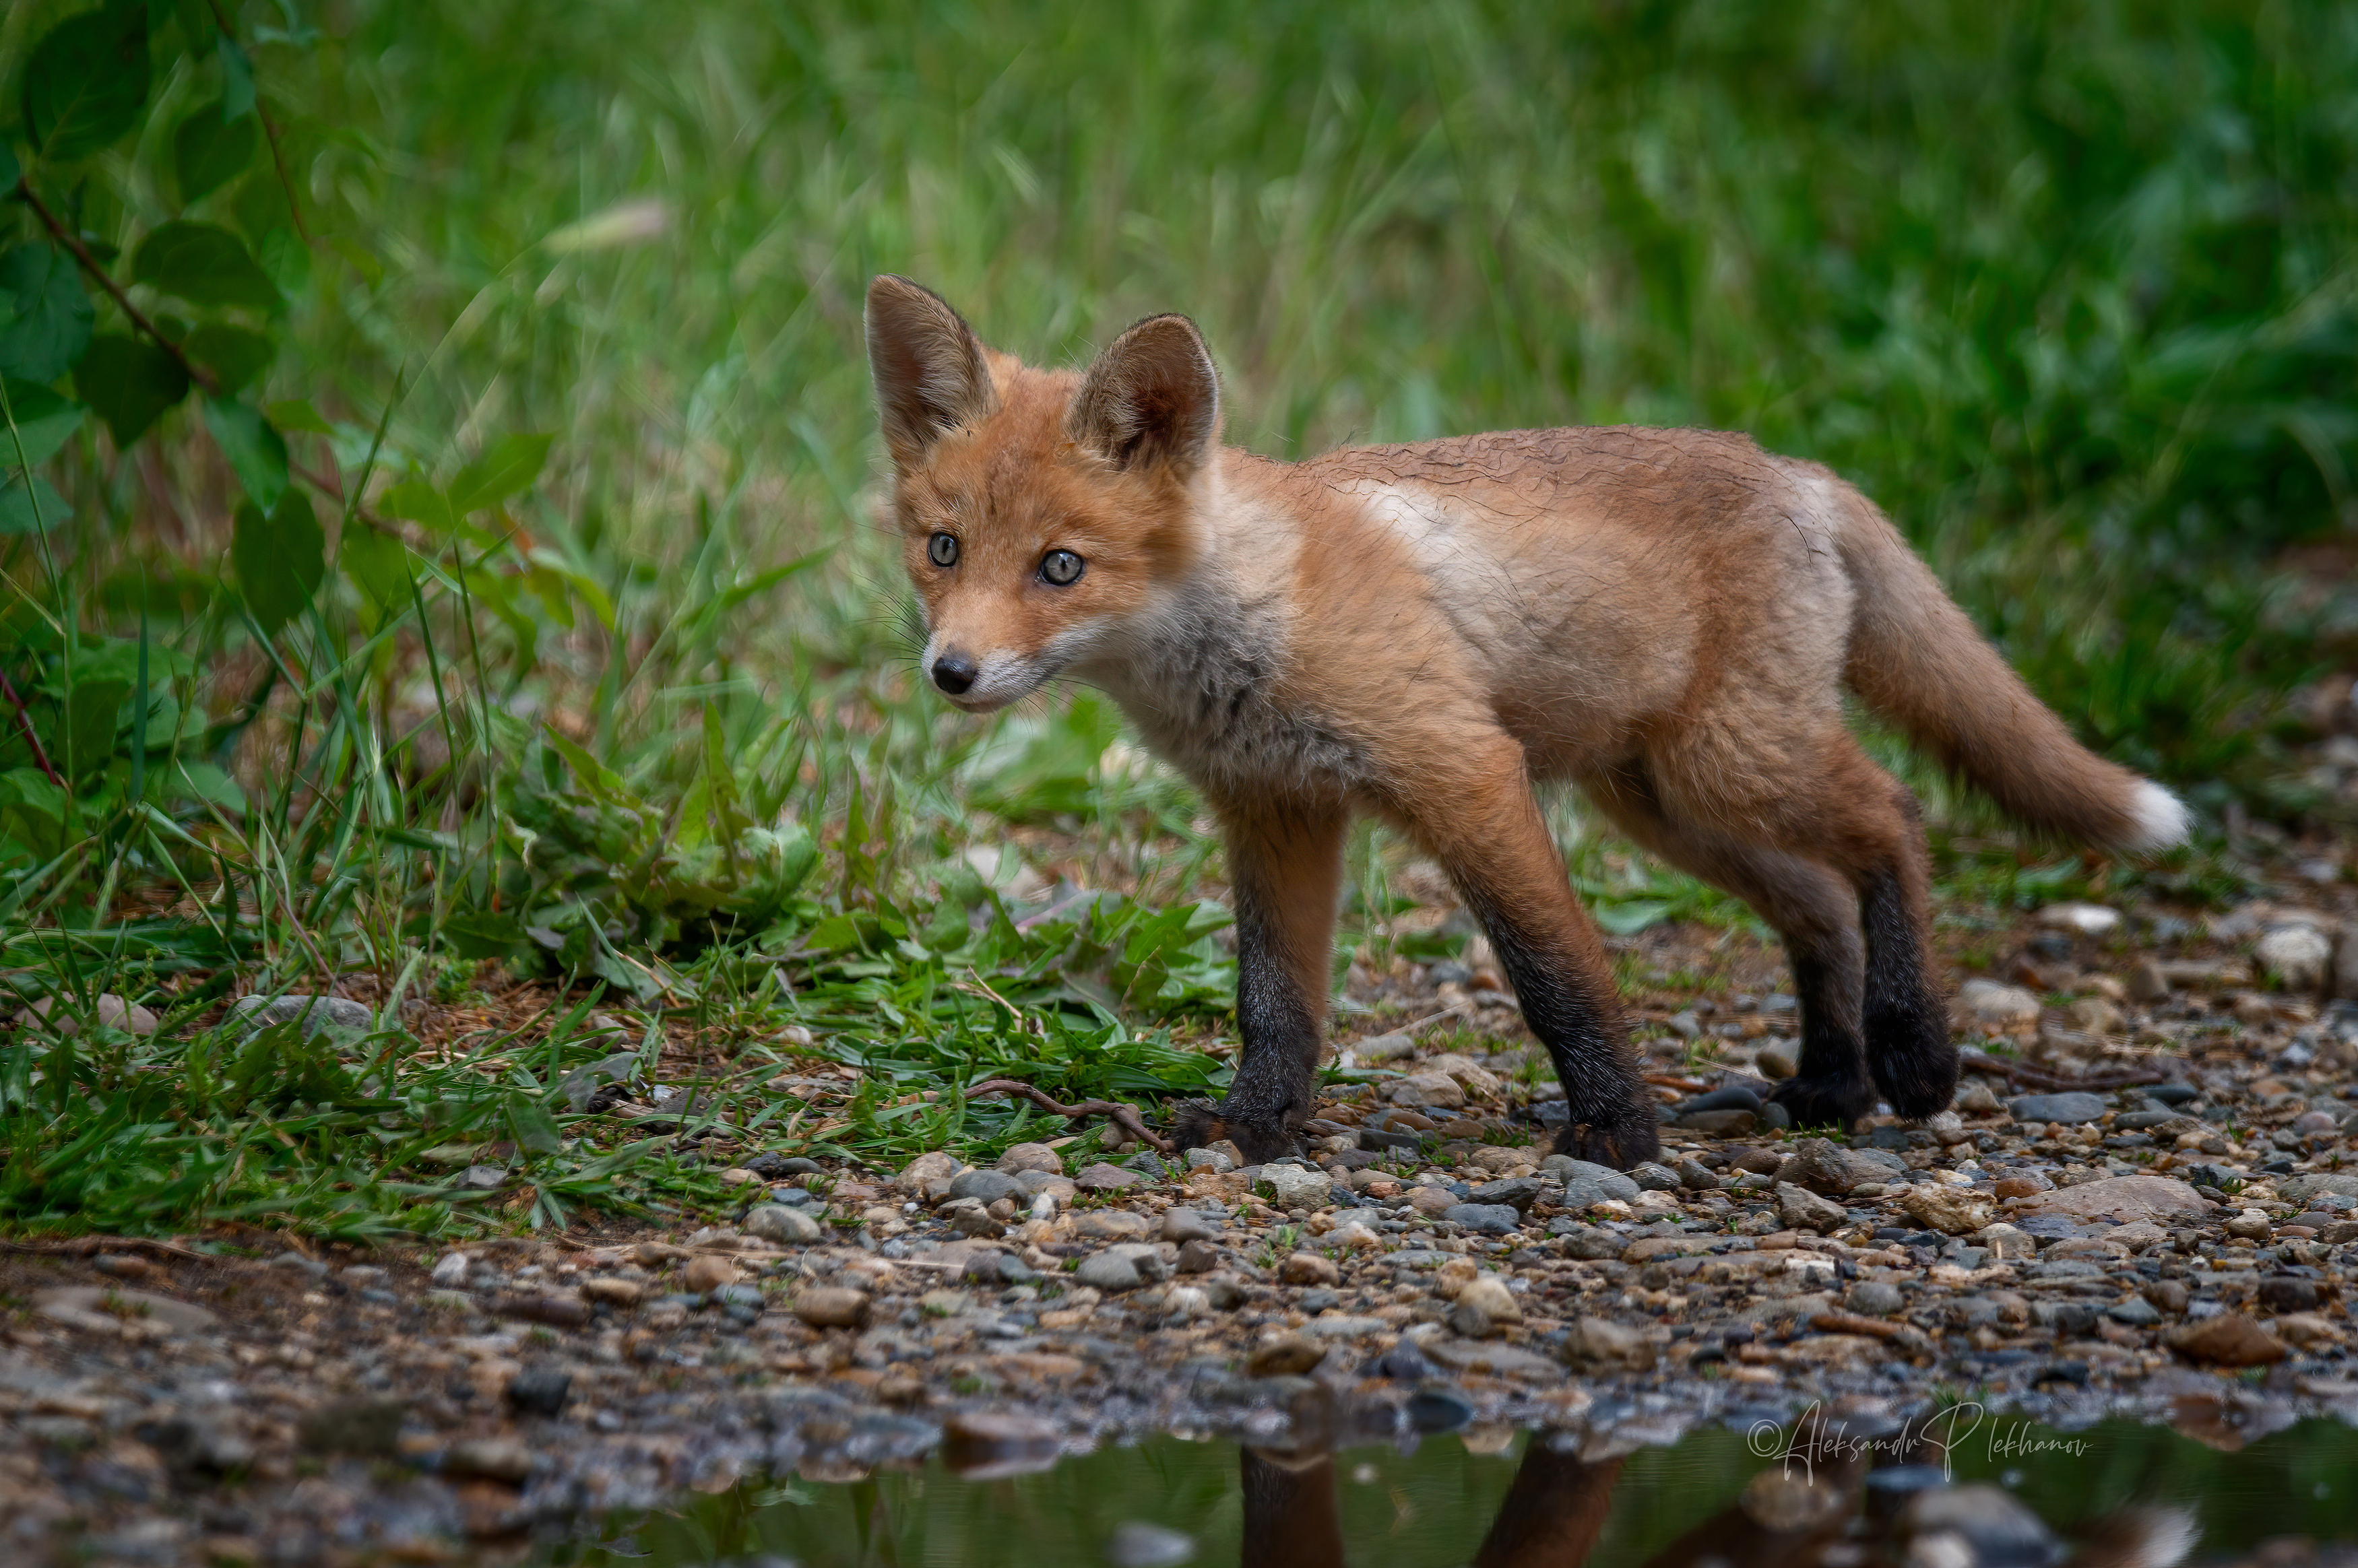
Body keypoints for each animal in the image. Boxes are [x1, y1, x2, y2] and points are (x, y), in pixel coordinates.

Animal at [868, 274, 2188, 1169]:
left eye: (1061, 567)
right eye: (944, 549)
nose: (952, 671)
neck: (1251, 617)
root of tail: (1799, 471)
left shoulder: (1462, 769)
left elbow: (1555, 972)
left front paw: (1617, 1131)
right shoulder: (1279, 808)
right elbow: (1275, 1001)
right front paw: (1256, 1127)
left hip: (1729, 767)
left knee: (1895, 820)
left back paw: (1913, 1052)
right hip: (1663, 803)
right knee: (1819, 901)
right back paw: (1829, 1083)